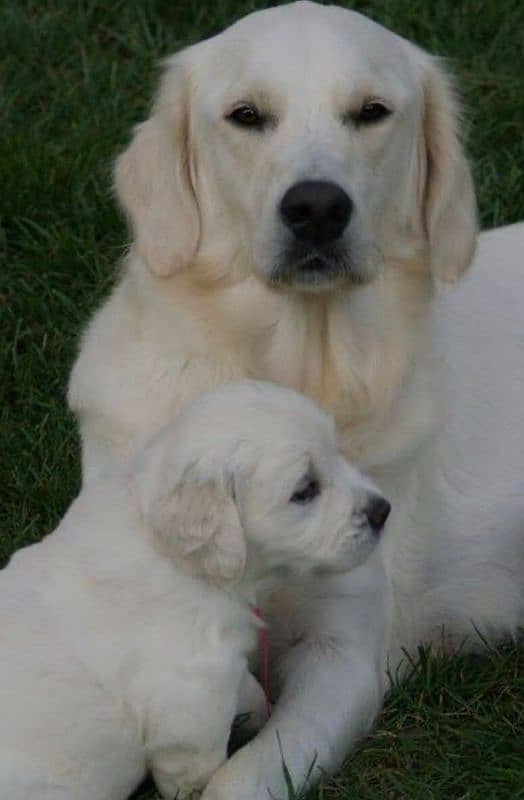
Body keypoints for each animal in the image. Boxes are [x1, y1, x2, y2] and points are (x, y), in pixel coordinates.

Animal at [0, 382, 388, 800]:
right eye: (305, 490)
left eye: (338, 452)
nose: (384, 510)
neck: (174, 554)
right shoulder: (190, 699)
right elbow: (196, 766)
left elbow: (250, 692)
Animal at [68, 3, 524, 796]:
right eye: (246, 116)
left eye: (371, 112)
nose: (316, 208)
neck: (294, 370)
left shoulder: (343, 655)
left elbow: (241, 779)